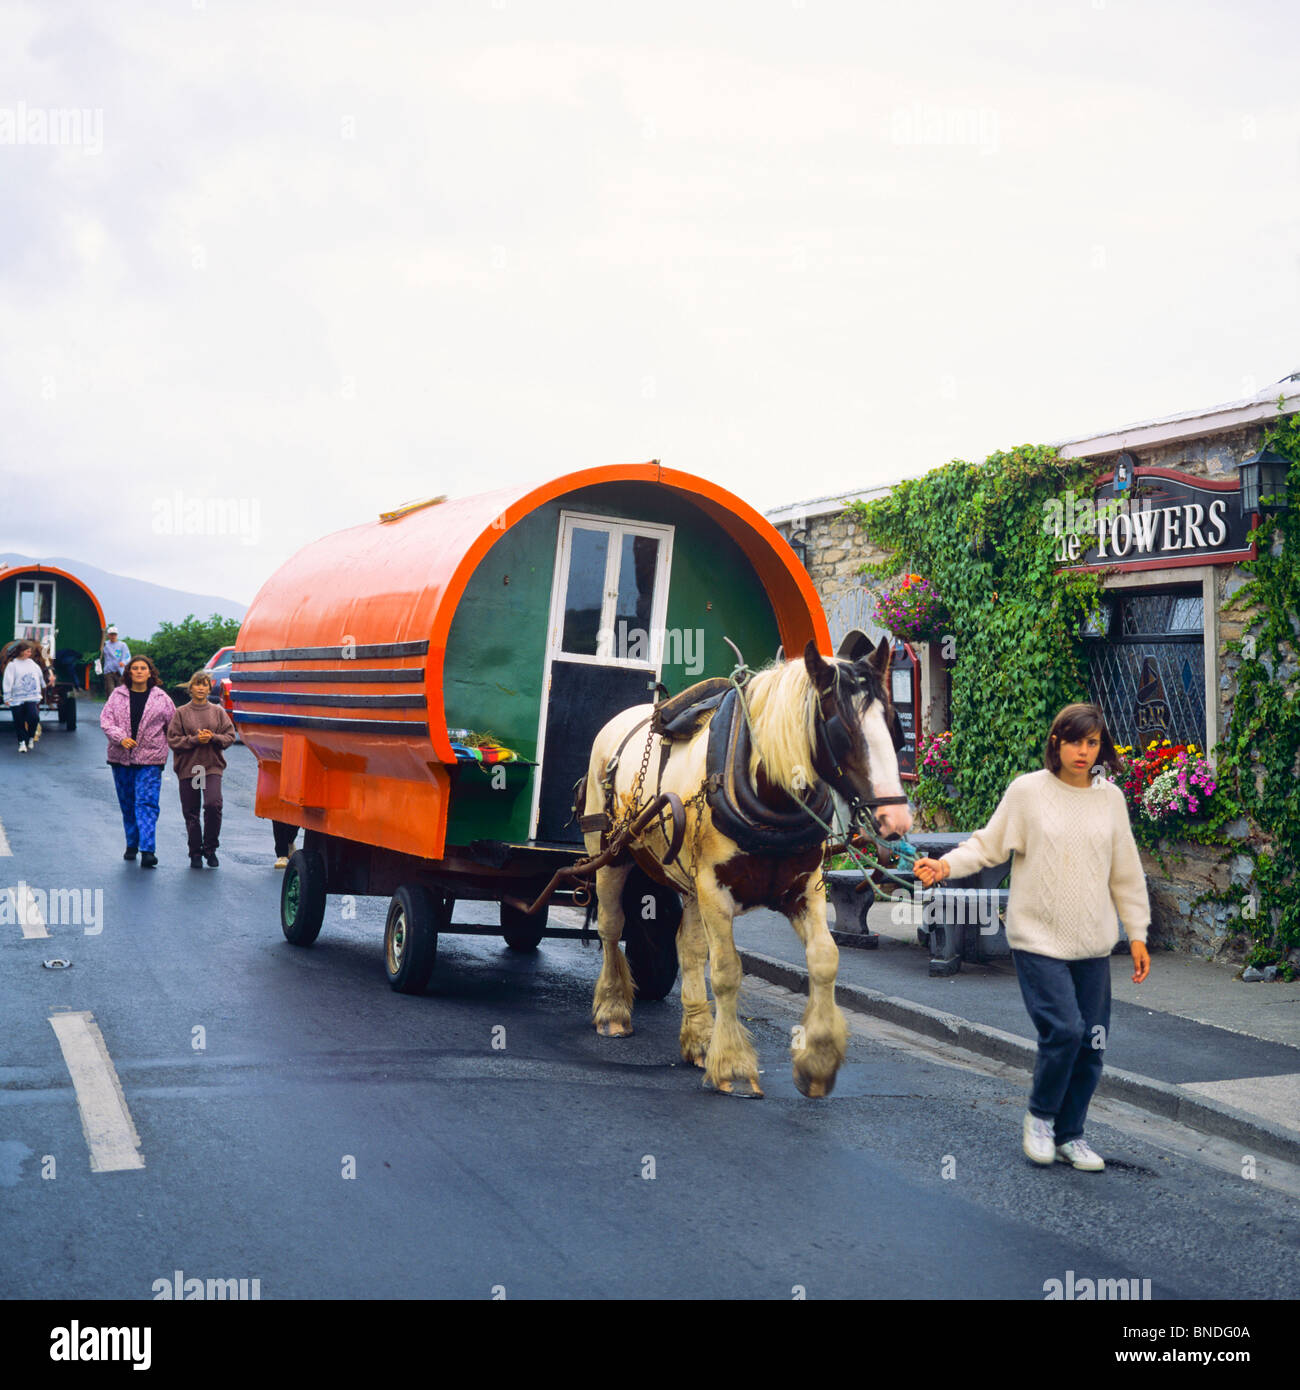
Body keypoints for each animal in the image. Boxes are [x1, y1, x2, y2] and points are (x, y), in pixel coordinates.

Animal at [583, 631, 912, 1095]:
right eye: (843, 732)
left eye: (895, 727)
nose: (896, 820)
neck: (769, 796)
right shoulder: (714, 889)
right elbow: (726, 971)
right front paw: (733, 1065)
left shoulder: (804, 887)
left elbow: (824, 959)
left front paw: (817, 1059)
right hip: (611, 854)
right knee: (612, 927)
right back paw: (613, 1008)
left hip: (687, 882)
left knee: (687, 948)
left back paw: (698, 1036)